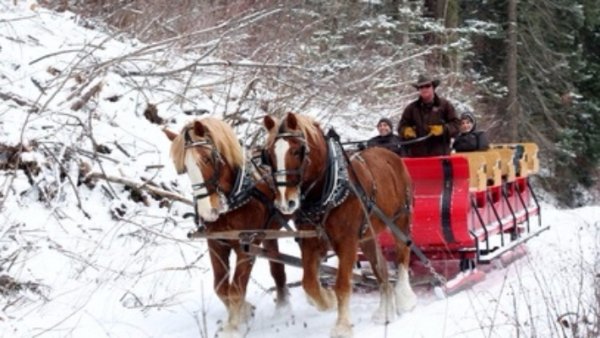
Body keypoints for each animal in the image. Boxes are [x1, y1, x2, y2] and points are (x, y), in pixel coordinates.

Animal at [163, 118, 288, 336]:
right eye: (184, 167)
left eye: (206, 159)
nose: (207, 211)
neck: (236, 197)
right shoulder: (217, 244)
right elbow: (221, 288)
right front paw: (245, 312)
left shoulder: (247, 245)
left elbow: (236, 288)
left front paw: (233, 327)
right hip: (270, 233)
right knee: (277, 269)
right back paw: (282, 308)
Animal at [262, 112, 418, 336]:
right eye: (269, 155)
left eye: (297, 150)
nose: (285, 201)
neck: (328, 191)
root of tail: (390, 155)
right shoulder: (311, 242)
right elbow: (309, 283)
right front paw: (327, 300)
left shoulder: (346, 243)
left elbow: (342, 284)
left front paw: (342, 326)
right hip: (366, 236)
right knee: (381, 269)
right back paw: (385, 312)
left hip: (400, 218)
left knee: (403, 253)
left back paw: (405, 298)